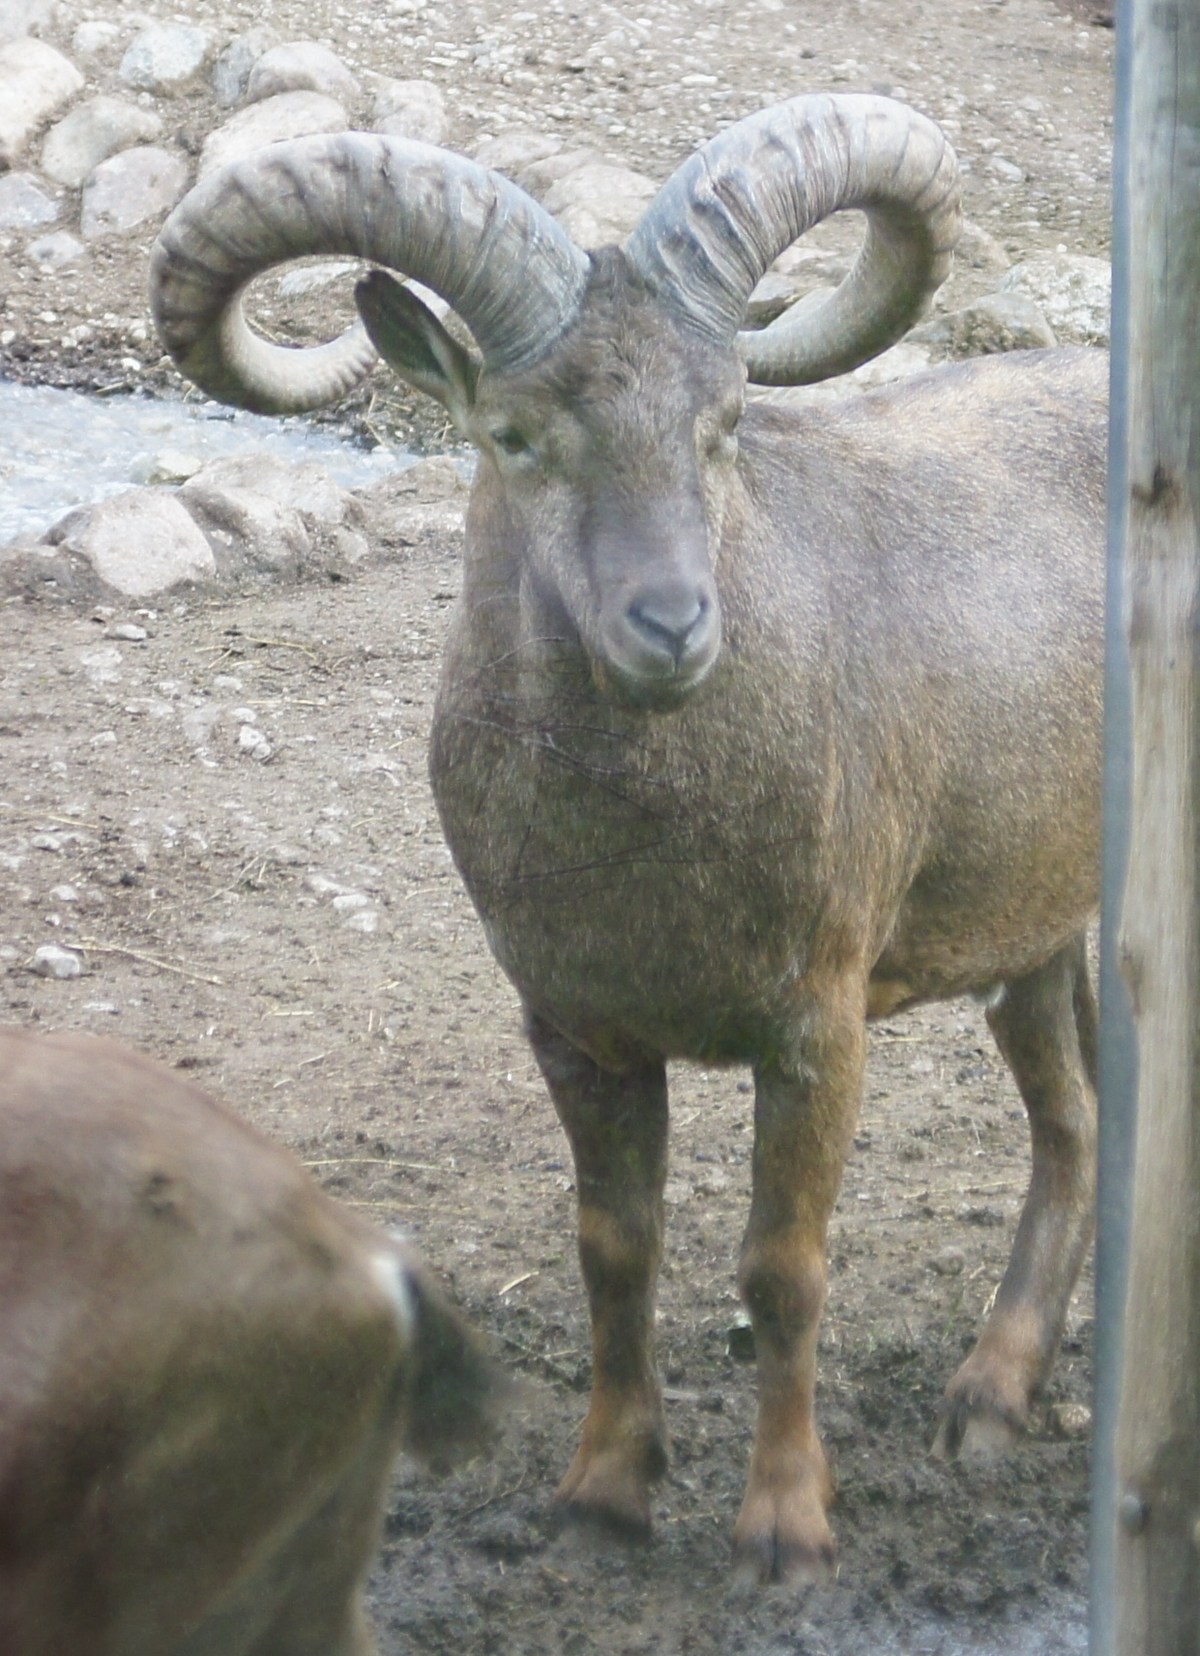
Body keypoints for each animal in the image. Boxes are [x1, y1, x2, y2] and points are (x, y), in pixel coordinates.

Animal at [149, 93, 1106, 1584]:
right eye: (517, 433)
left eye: (725, 423)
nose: (670, 626)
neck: (647, 859)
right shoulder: (576, 1024)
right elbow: (616, 1248)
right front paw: (603, 1495)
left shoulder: (817, 1020)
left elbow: (784, 1268)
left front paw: (786, 1528)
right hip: (1036, 922)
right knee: (1073, 1121)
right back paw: (994, 1399)